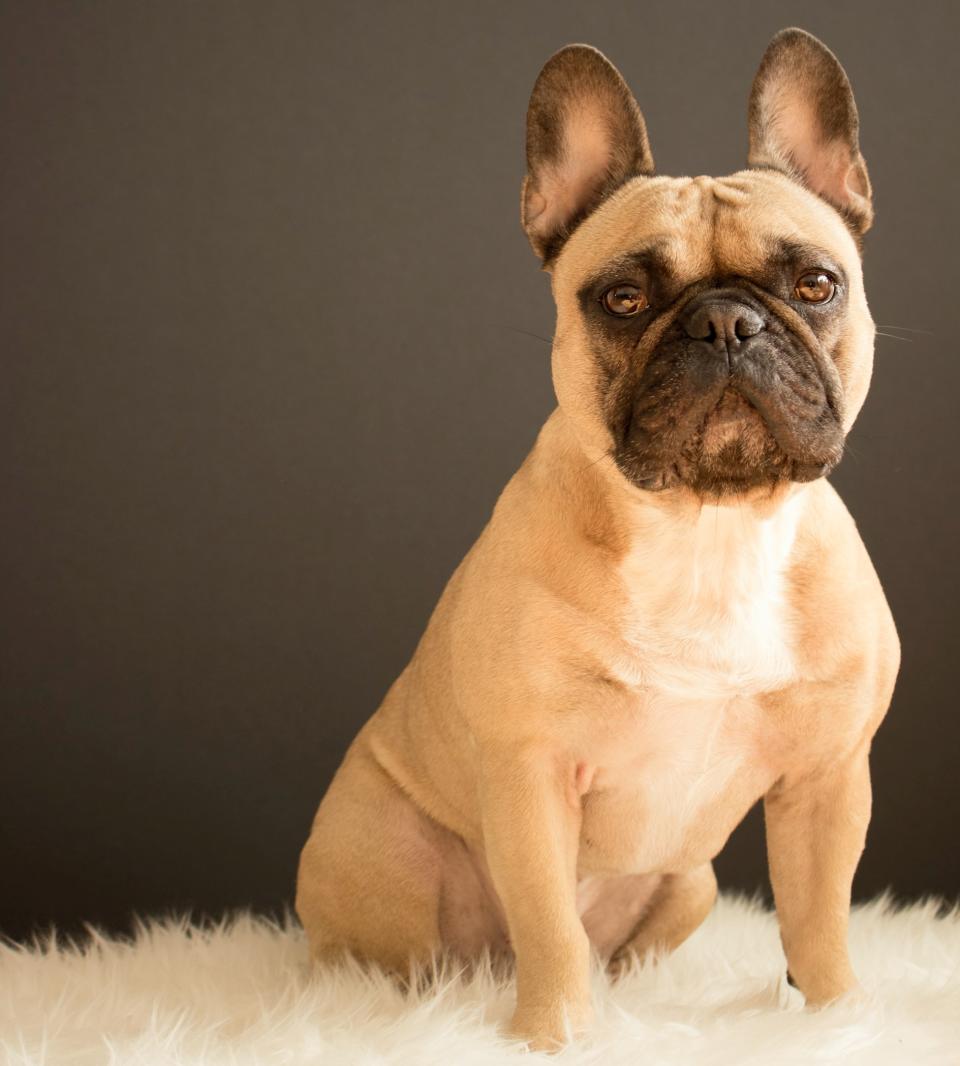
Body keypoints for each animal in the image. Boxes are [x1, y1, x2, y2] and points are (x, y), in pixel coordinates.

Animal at [298, 27, 899, 1048]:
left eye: (816, 284)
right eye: (622, 299)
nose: (726, 321)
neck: (706, 525)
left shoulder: (828, 780)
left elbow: (818, 916)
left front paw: (836, 1019)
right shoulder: (531, 776)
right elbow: (547, 924)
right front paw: (556, 1037)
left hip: (691, 883)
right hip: (383, 855)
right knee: (406, 958)